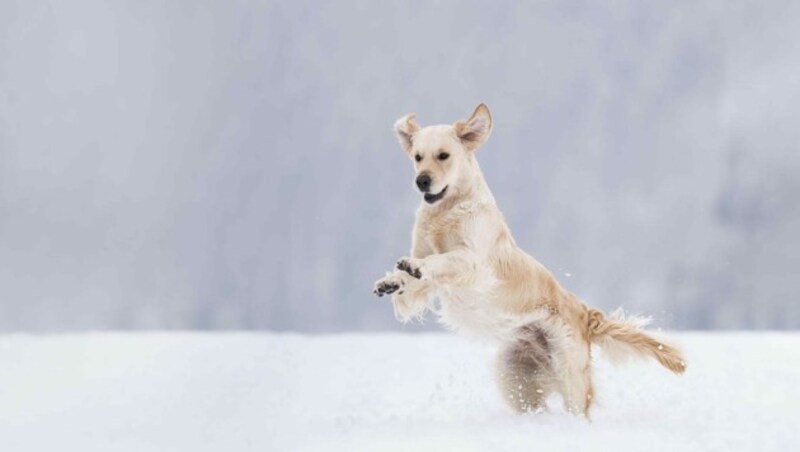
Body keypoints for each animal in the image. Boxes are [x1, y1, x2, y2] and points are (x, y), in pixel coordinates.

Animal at [372, 102, 684, 416]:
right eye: (417, 157)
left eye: (443, 155)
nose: (421, 181)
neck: (447, 210)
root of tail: (584, 313)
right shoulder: (429, 276)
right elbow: (413, 283)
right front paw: (391, 281)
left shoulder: (475, 263)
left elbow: (440, 261)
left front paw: (414, 267)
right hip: (515, 376)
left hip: (570, 375)